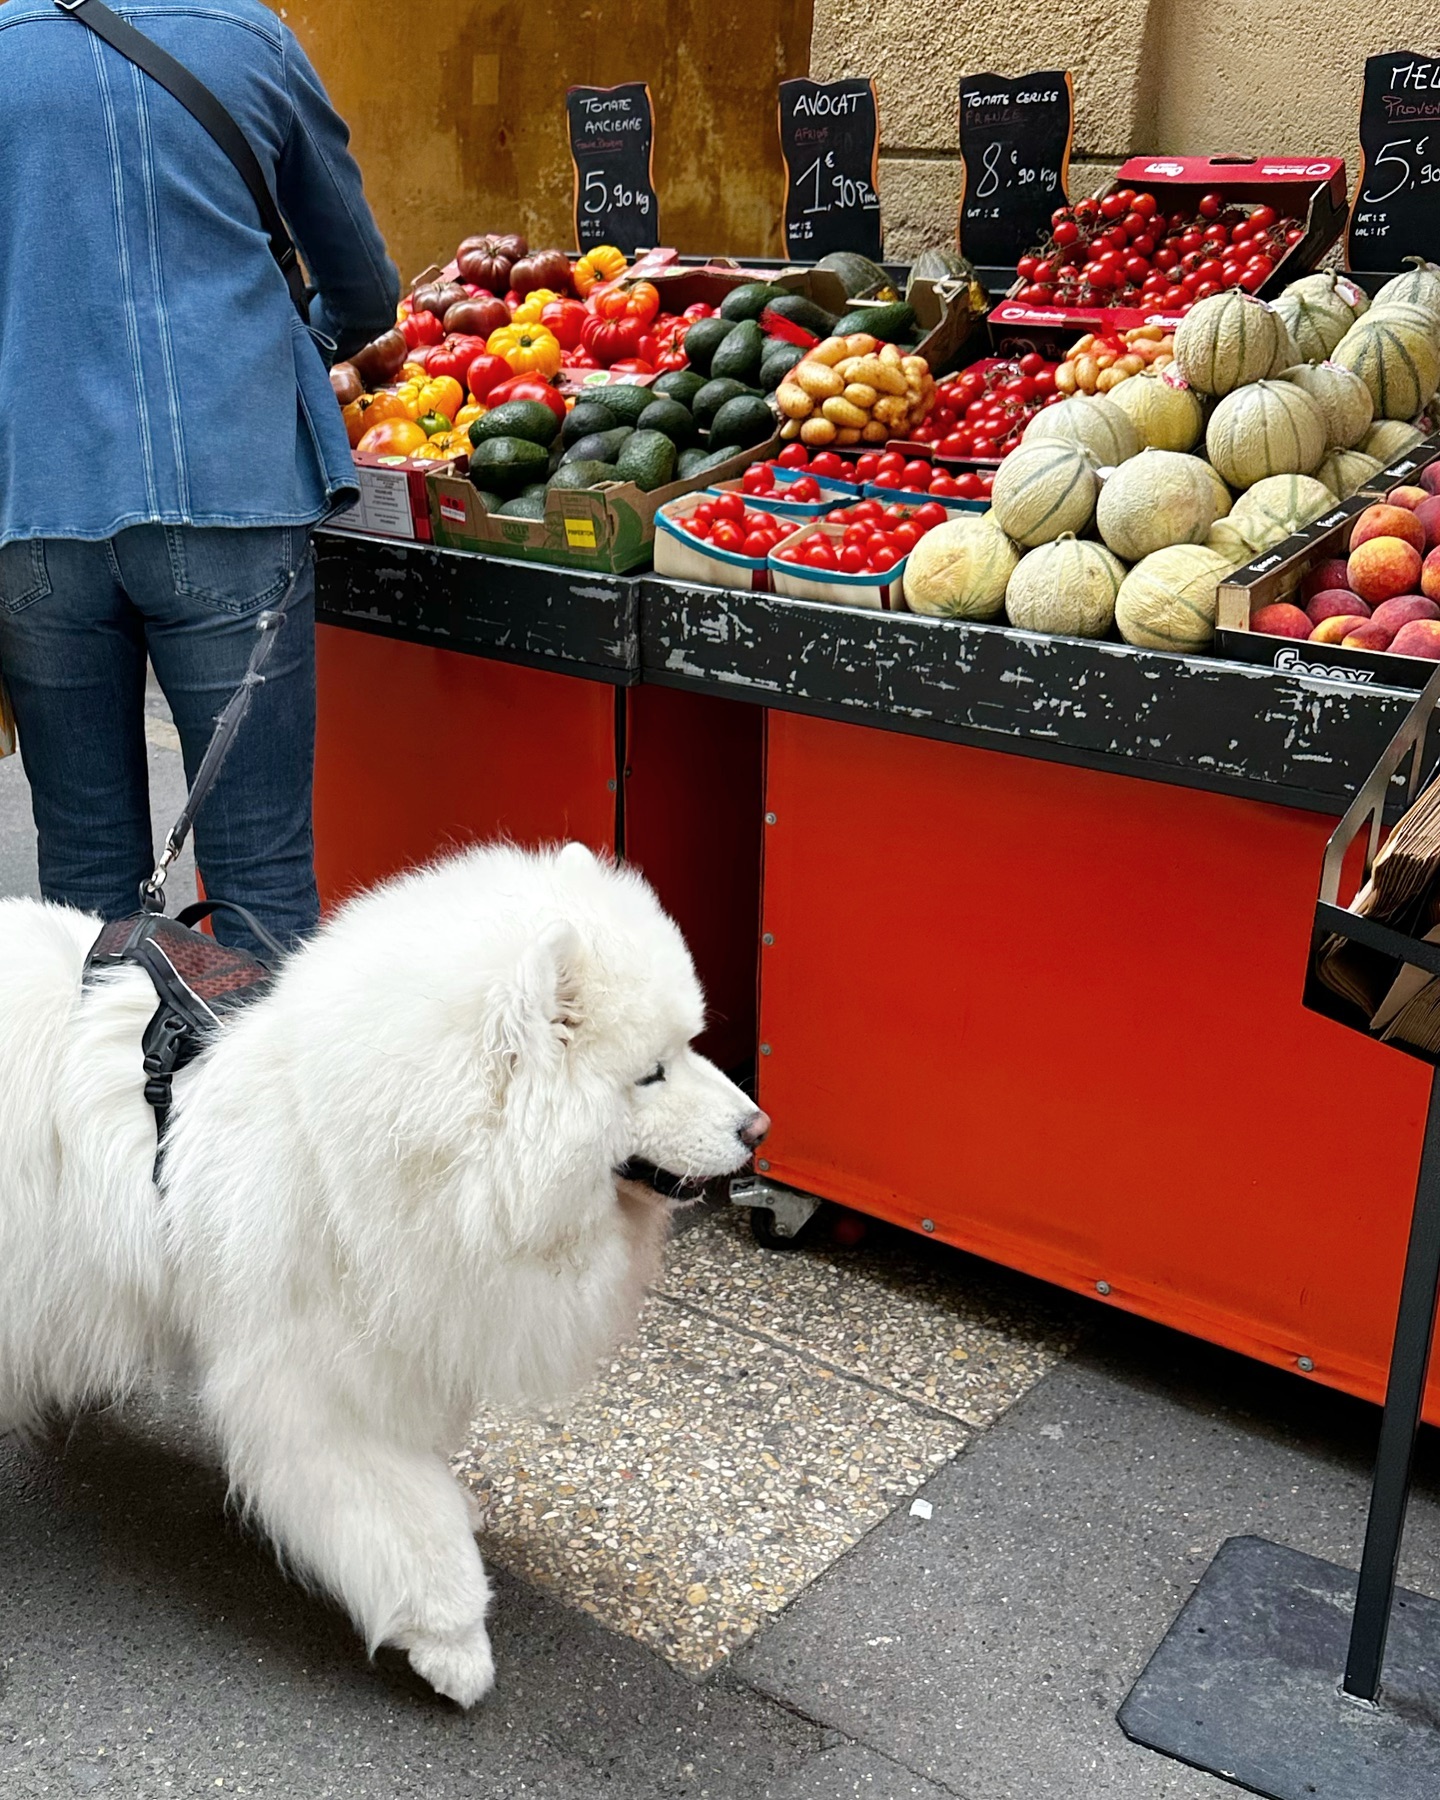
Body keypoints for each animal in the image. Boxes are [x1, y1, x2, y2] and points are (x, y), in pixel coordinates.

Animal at [0, 842, 763, 1699]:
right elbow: (404, 1525)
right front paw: (454, 1643)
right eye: (650, 1073)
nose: (758, 1128)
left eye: (691, 1046)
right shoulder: (320, 1389)